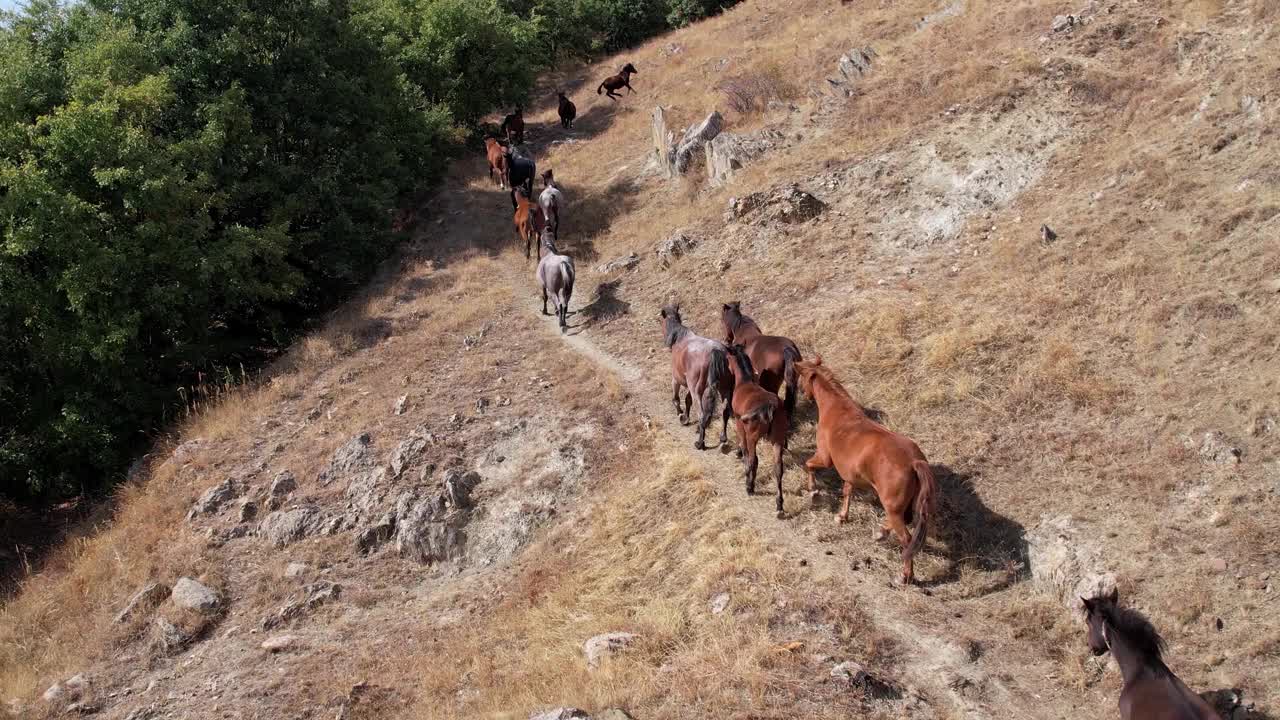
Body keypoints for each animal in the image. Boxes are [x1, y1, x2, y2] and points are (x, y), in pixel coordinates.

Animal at [660, 302, 732, 448]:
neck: (680, 338)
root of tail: (715, 350)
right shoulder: (690, 386)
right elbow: (688, 400)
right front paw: (686, 418)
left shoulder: (676, 380)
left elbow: (676, 399)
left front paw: (681, 415)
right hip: (723, 390)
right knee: (724, 412)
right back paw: (722, 437)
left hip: (697, 390)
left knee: (702, 414)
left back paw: (700, 443)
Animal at [732, 343, 788, 515]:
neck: (745, 382)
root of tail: (771, 406)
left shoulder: (739, 423)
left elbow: (744, 450)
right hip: (777, 440)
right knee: (778, 468)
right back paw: (779, 504)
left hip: (753, 437)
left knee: (753, 459)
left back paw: (750, 486)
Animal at [793, 353, 936, 584]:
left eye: (800, 377)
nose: (801, 394)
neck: (837, 410)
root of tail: (914, 461)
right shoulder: (850, 475)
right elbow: (847, 492)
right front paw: (842, 516)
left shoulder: (824, 458)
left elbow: (809, 465)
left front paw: (814, 492)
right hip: (903, 506)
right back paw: (880, 533)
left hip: (893, 507)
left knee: (906, 539)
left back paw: (905, 576)